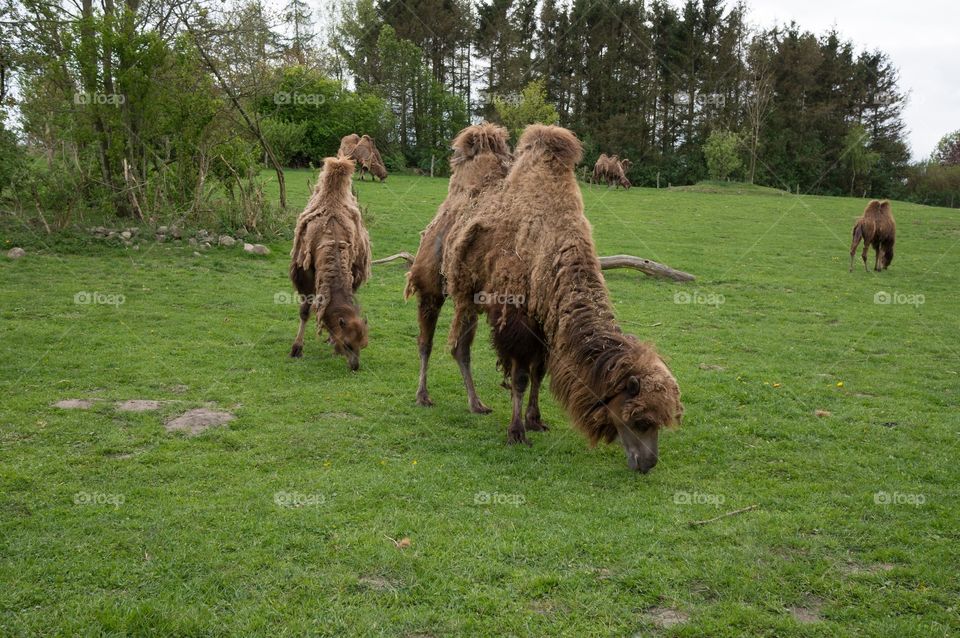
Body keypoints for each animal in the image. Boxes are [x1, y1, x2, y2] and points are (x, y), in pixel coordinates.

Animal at [288, 157, 371, 370]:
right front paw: (296, 349)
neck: (331, 236)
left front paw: (332, 340)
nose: (355, 366)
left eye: (364, 344)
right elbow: (305, 311)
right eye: (348, 344)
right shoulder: (306, 272)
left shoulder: (351, 268)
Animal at [404, 123, 513, 411]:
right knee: (428, 343)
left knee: (457, 348)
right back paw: (425, 395)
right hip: (433, 290)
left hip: (467, 298)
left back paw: (476, 402)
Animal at [442, 125, 682, 472]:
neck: (551, 251)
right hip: (464, 290)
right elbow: (520, 377)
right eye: (639, 419)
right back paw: (472, 403)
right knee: (459, 346)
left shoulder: (547, 323)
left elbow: (540, 373)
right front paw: (516, 432)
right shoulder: (519, 323)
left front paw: (535, 420)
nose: (647, 463)